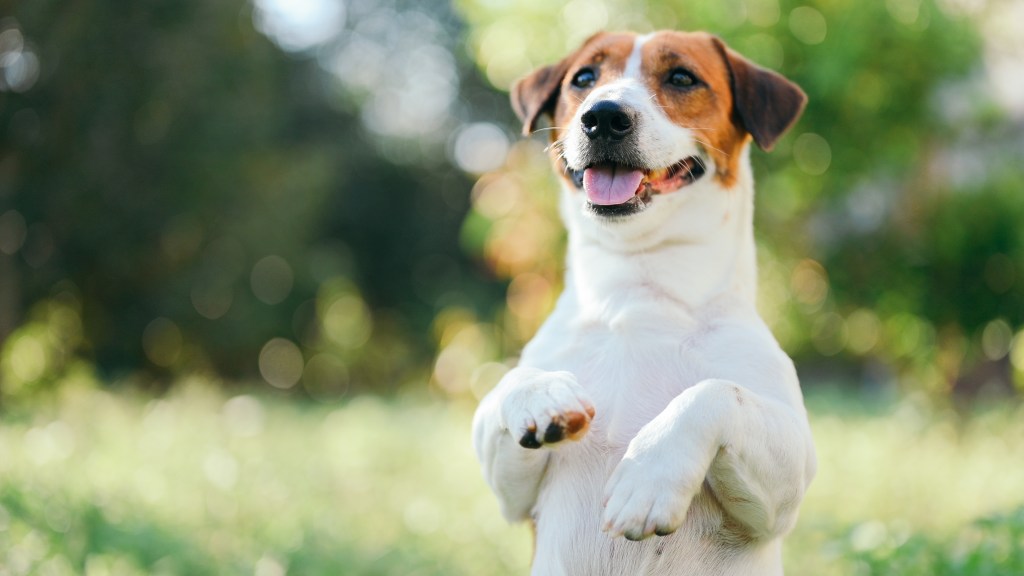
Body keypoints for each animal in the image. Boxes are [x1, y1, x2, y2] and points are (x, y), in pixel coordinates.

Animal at [471, 31, 815, 573]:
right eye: (584, 77)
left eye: (682, 77)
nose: (603, 115)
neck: (636, 292)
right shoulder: (514, 496)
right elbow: (507, 384)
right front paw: (545, 394)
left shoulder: (789, 476)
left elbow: (716, 392)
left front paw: (647, 477)